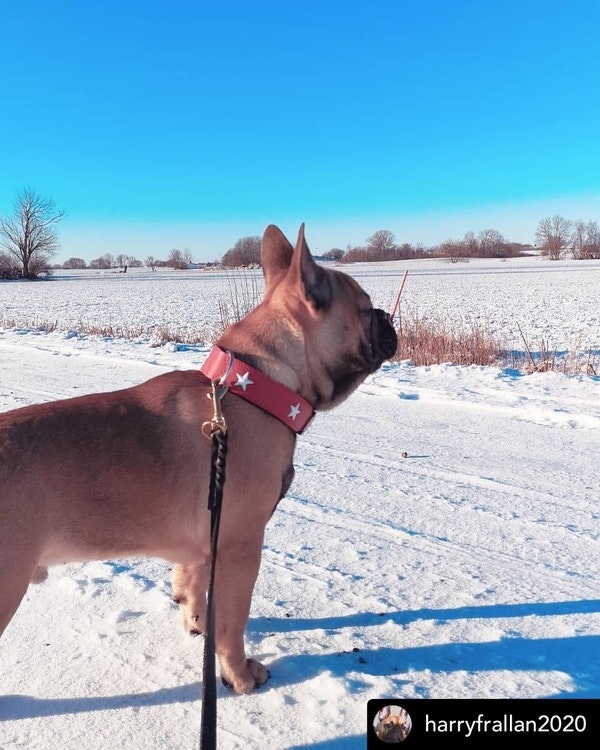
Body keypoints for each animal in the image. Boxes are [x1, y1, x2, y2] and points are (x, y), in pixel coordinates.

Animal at [2, 226, 400, 696]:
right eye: (364, 307)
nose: (386, 316)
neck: (257, 386)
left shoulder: (205, 541)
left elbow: (194, 587)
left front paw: (196, 624)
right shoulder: (240, 547)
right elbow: (232, 621)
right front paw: (239, 675)